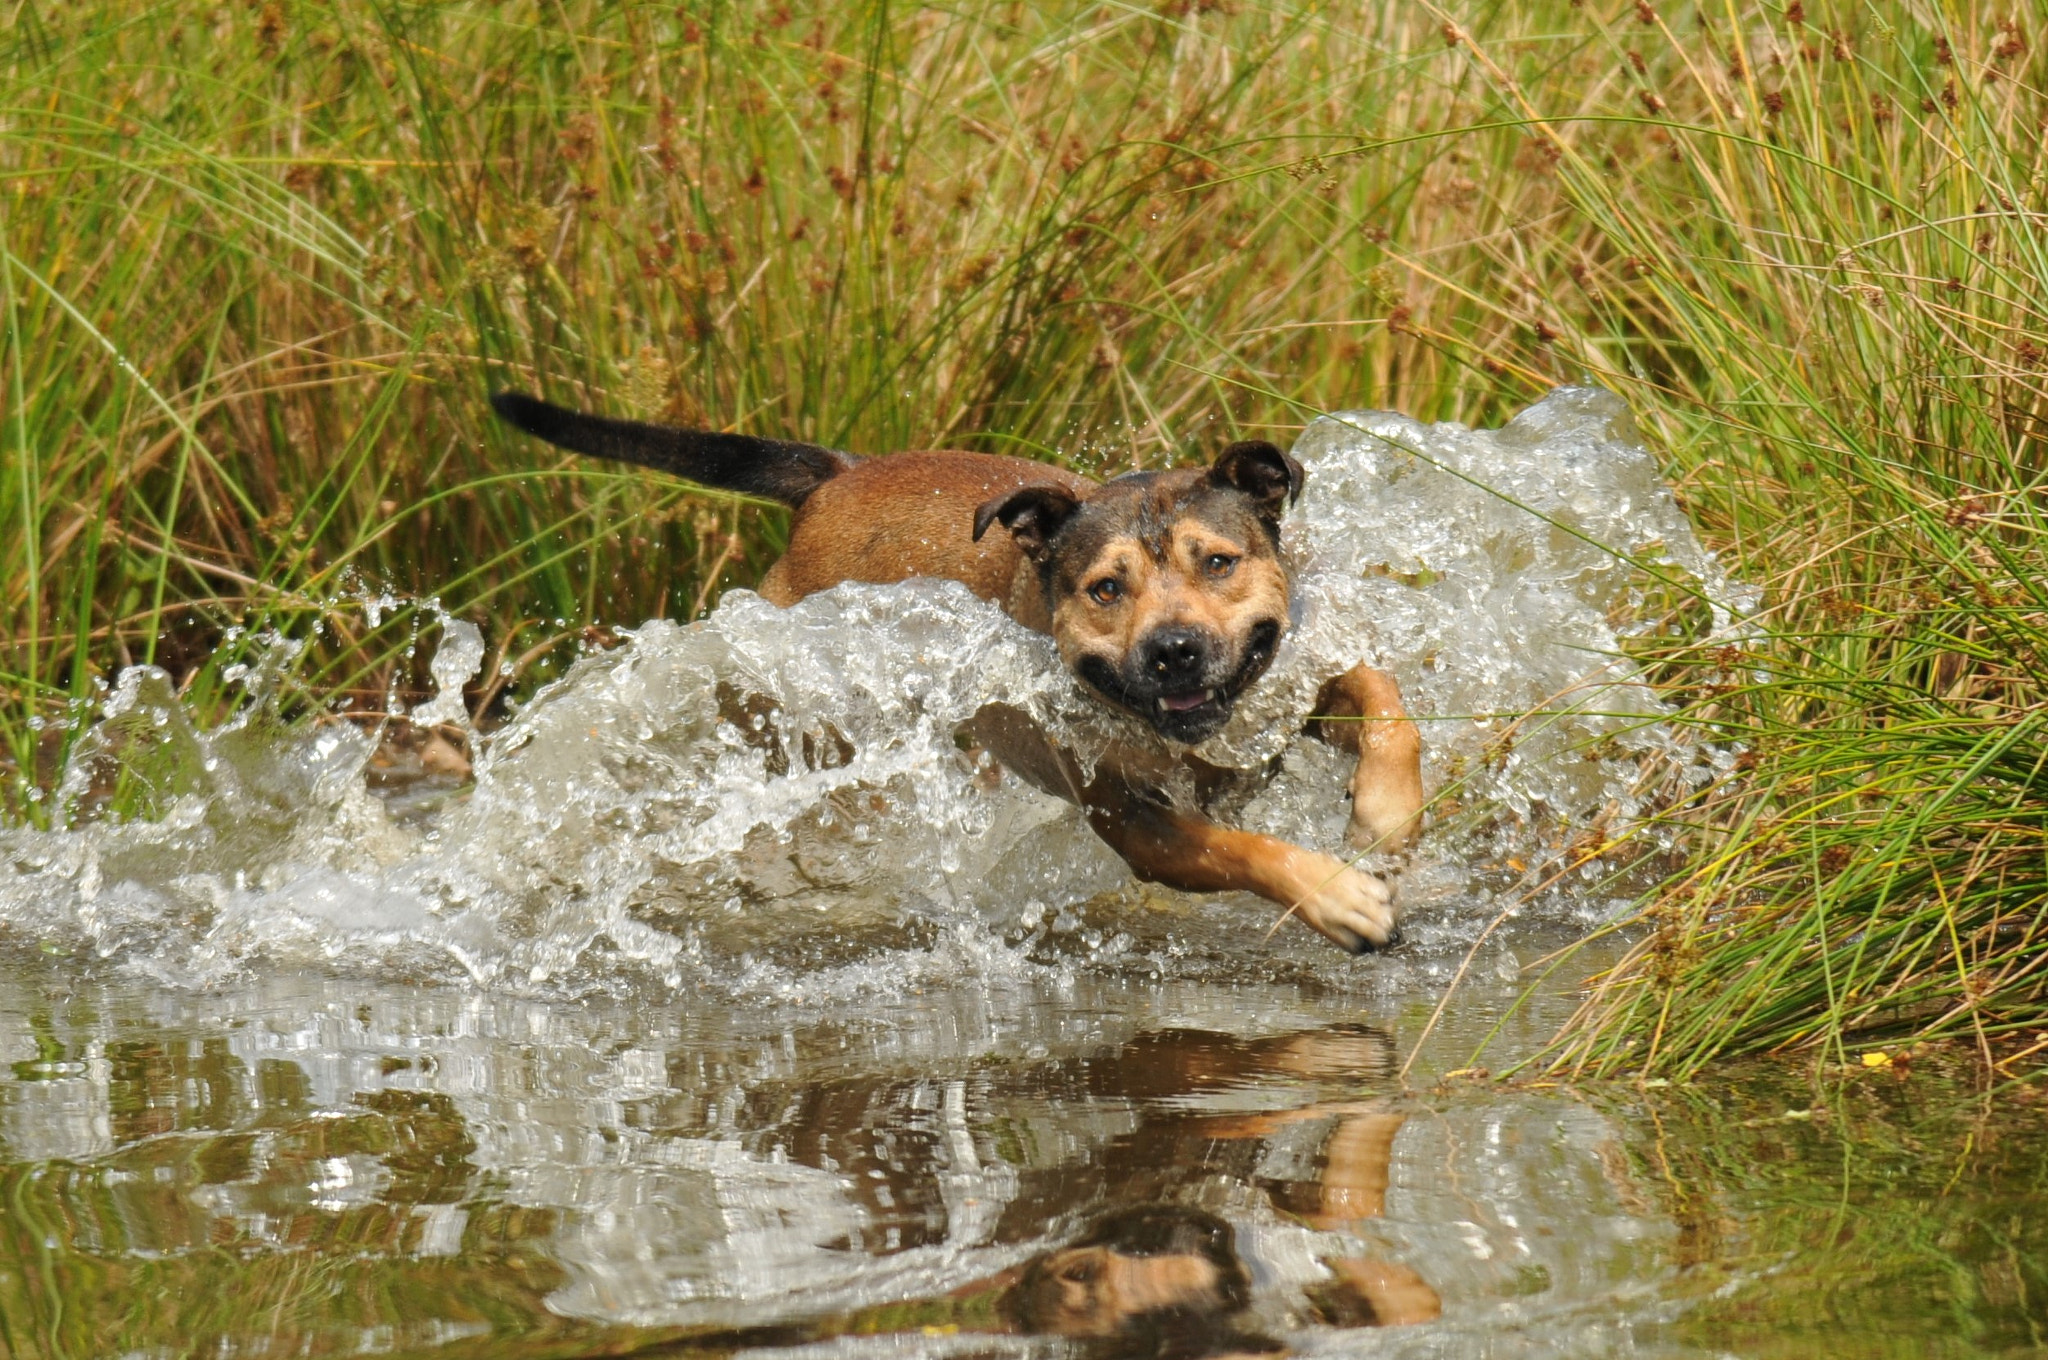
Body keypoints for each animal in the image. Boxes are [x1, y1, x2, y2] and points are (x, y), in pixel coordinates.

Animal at [495, 393, 1425, 946]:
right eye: (1106, 587)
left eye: (1220, 562)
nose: (1174, 650)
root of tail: (834, 479)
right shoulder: (1135, 825)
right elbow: (1239, 849)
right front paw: (1336, 894)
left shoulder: (1289, 681)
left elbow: (1383, 696)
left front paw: (1386, 813)